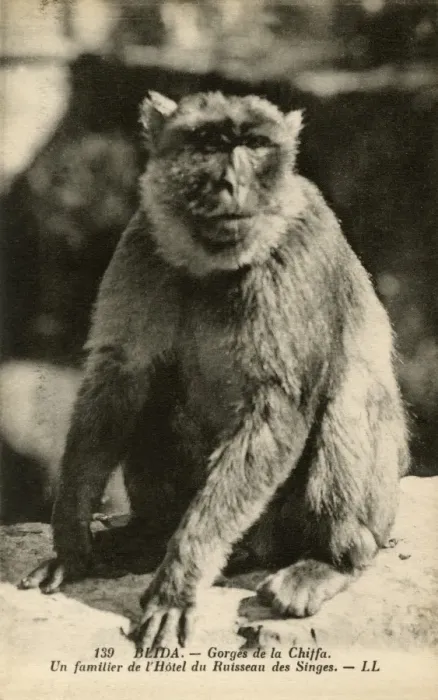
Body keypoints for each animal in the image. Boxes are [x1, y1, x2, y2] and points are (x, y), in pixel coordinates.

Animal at [20, 90, 409, 649]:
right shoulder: (142, 242)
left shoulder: (295, 256)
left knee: (349, 400)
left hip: (326, 514)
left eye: (254, 144)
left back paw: (329, 561)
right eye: (209, 142)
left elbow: (277, 407)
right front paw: (71, 539)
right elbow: (121, 377)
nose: (232, 183)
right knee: (154, 393)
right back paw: (144, 536)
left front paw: (176, 587)